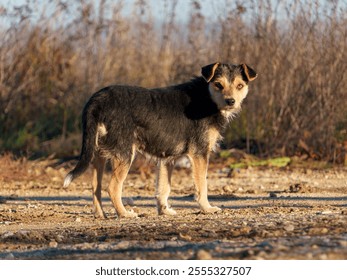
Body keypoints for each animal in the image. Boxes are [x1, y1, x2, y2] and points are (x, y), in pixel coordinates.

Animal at [64, 62, 256, 218]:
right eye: (218, 84)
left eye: (240, 85)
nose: (230, 101)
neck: (206, 97)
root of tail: (97, 100)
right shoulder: (199, 153)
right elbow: (202, 185)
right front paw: (207, 208)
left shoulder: (167, 158)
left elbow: (164, 188)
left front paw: (164, 211)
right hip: (125, 154)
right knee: (112, 187)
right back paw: (124, 213)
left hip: (98, 154)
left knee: (95, 186)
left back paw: (100, 214)